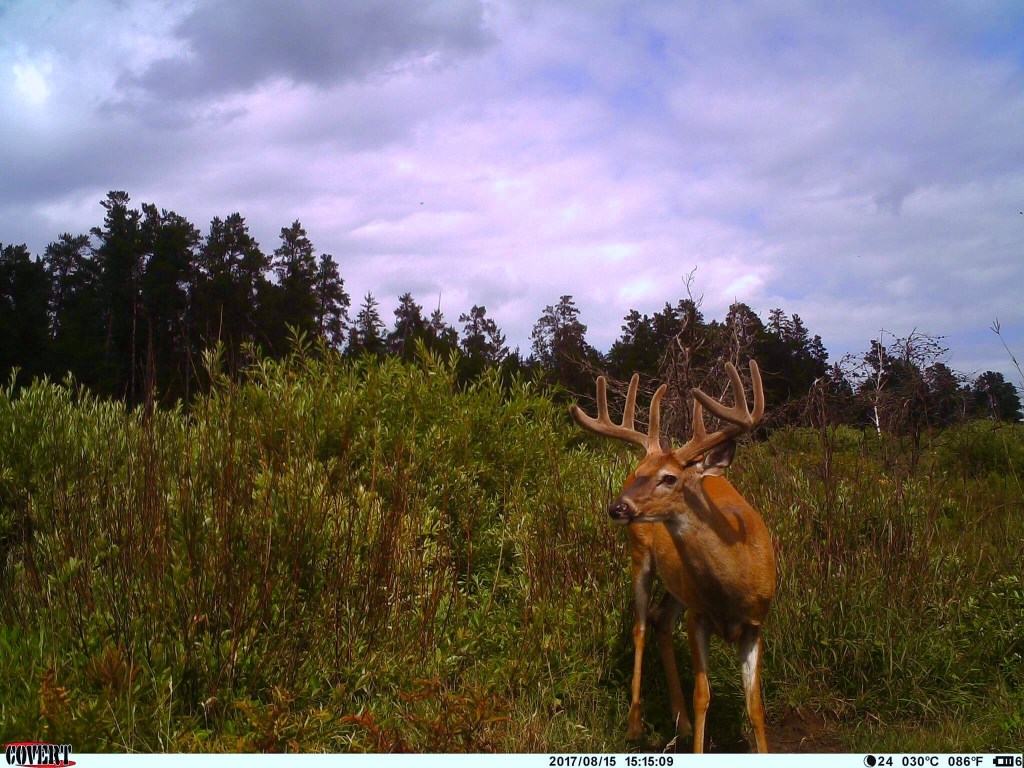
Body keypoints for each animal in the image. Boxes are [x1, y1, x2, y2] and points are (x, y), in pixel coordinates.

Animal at [569, 364, 774, 753]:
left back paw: (681, 722)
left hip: (678, 585)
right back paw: (635, 724)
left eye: (669, 478)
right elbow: (703, 696)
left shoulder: (757, 623)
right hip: (640, 556)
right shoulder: (699, 615)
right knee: (641, 626)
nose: (618, 507)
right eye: (643, 476)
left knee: (661, 620)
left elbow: (755, 707)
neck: (734, 584)